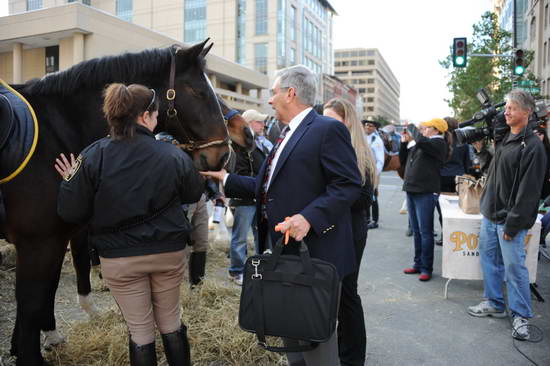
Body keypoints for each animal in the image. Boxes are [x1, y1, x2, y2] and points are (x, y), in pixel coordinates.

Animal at [0, 40, 237, 366]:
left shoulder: (52, 241)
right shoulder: (39, 243)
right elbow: (32, 303)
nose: (223, 156)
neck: (56, 132)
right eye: (198, 91)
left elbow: (41, 298)